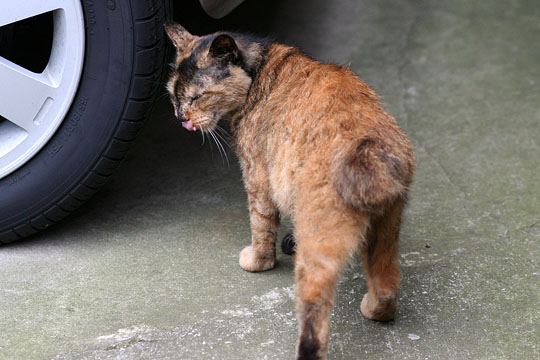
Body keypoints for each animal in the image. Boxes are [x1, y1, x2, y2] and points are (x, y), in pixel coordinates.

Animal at [165, 23, 418, 360]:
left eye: (198, 97)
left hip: (318, 246)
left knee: (314, 313)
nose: (181, 118)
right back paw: (373, 309)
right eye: (173, 95)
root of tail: (368, 148)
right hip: (386, 230)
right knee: (387, 286)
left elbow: (260, 226)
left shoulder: (257, 179)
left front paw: (257, 262)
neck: (258, 70)